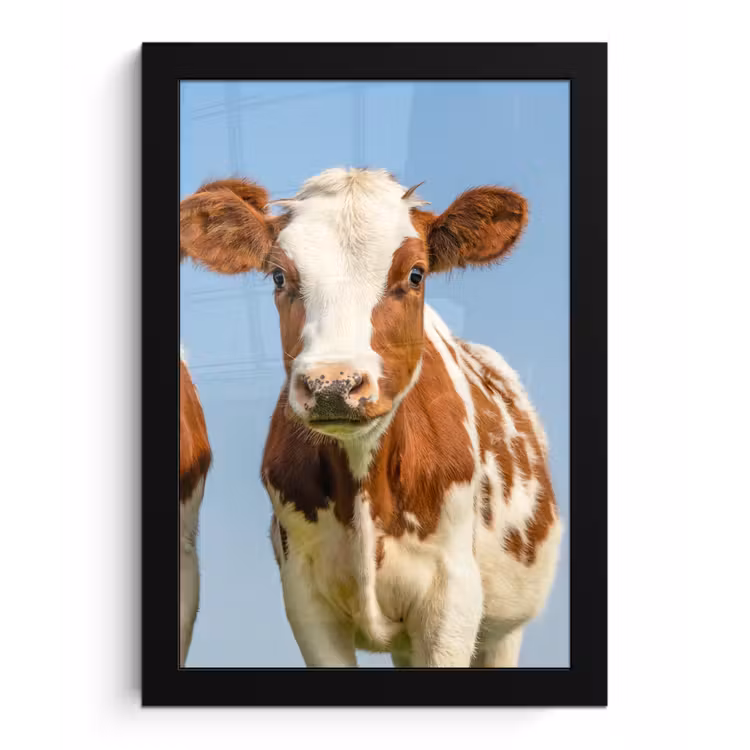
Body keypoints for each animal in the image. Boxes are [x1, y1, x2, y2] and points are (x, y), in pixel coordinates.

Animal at [179, 168, 562, 668]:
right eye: (279, 276)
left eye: (416, 273)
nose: (333, 384)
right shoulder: (306, 599)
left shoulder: (452, 600)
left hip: (504, 629)